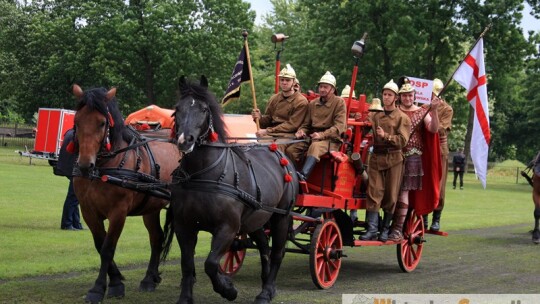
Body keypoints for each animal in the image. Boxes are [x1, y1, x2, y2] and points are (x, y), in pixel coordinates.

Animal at [71, 84, 181, 302]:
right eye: (77, 121)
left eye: (102, 122)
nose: (86, 165)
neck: (104, 169)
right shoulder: (88, 212)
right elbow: (100, 244)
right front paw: (115, 280)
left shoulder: (118, 212)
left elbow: (108, 248)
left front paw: (100, 288)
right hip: (151, 206)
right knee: (156, 237)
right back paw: (150, 278)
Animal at [165, 76, 300, 304]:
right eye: (177, 108)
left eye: (204, 109)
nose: (185, 140)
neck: (202, 175)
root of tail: (282, 156)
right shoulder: (184, 227)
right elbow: (187, 264)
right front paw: (185, 297)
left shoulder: (227, 228)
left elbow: (210, 263)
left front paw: (227, 288)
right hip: (256, 218)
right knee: (264, 246)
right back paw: (267, 284)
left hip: (281, 217)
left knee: (277, 253)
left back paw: (266, 291)